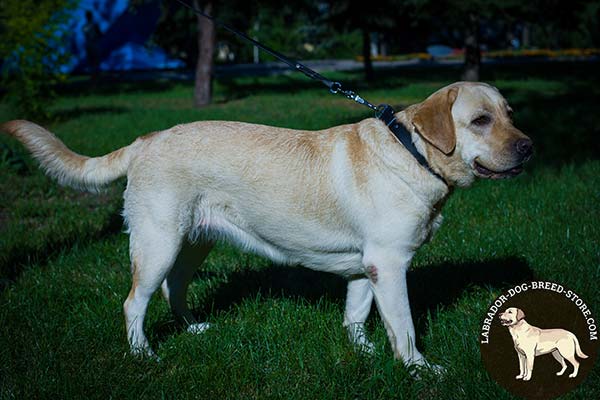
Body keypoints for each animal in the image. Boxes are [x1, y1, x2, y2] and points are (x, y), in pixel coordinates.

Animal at [2, 81, 532, 368]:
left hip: (192, 244)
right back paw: (143, 355)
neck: (414, 155)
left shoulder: (367, 267)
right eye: (480, 121)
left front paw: (362, 354)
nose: (528, 147)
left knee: (175, 289)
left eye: (511, 114)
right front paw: (419, 370)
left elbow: (357, 316)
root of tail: (144, 140)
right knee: (135, 302)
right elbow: (403, 329)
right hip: (158, 242)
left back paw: (192, 329)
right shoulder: (390, 264)